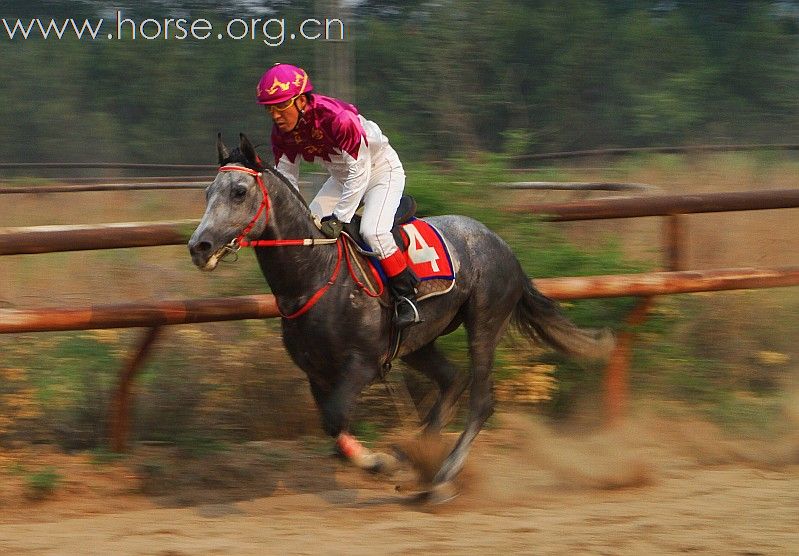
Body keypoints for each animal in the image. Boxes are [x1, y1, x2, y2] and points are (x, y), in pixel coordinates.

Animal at [188, 134, 612, 500]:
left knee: (480, 400)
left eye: (239, 192)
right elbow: (332, 428)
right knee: (452, 380)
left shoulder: (362, 363)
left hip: (485, 321)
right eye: (207, 192)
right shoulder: (316, 372)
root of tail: (503, 245)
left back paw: (440, 477)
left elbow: (336, 419)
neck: (316, 274)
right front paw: (389, 460)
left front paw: (382, 463)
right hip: (418, 343)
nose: (199, 246)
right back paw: (417, 458)